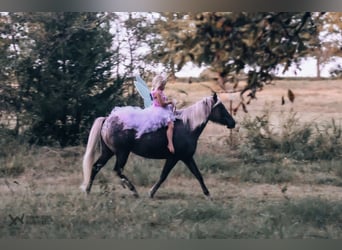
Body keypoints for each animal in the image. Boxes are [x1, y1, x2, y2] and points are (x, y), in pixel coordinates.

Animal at [80, 93, 235, 198]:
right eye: (221, 107)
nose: (233, 122)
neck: (187, 126)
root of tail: (107, 119)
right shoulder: (175, 158)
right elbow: (163, 176)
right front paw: (151, 192)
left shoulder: (186, 157)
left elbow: (198, 175)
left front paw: (207, 194)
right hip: (122, 153)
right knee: (117, 170)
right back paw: (133, 190)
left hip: (108, 152)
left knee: (96, 167)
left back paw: (88, 190)